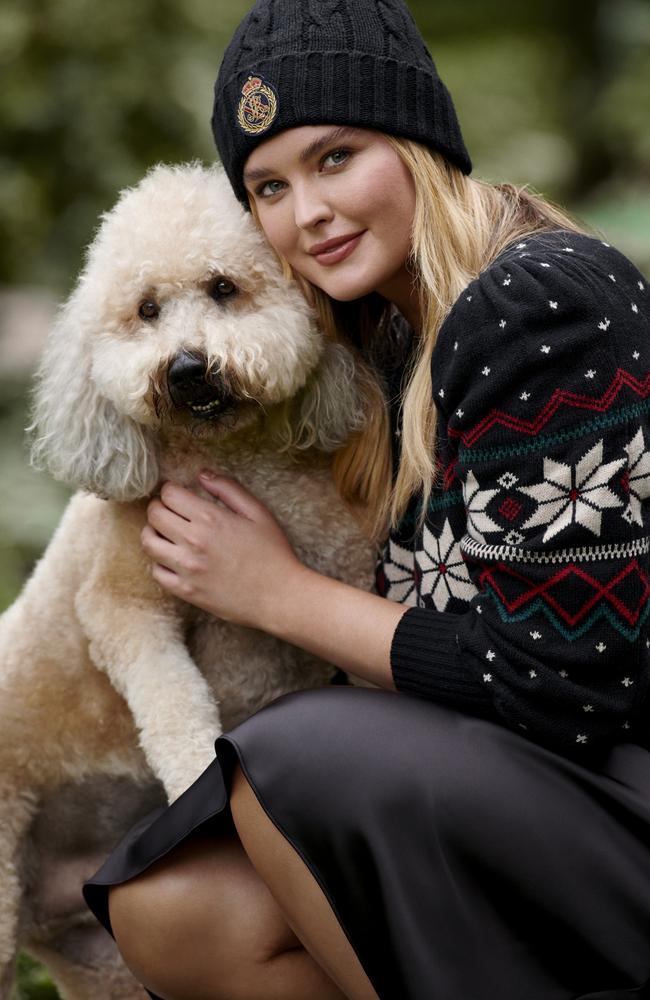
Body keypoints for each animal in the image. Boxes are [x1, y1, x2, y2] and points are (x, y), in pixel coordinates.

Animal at [1, 160, 374, 996]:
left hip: (98, 962)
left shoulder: (349, 572)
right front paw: (200, 791)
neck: (234, 458)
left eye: (224, 288)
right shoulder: (123, 609)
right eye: (146, 311)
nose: (185, 367)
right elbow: (174, 707)